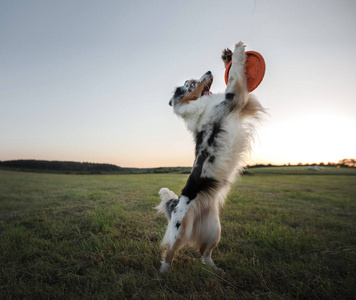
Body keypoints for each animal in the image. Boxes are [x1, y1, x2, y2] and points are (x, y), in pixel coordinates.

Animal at [156, 41, 264, 274]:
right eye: (191, 84)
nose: (208, 71)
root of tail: (177, 203)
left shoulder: (241, 101)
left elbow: (233, 73)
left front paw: (227, 57)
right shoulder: (234, 96)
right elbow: (235, 73)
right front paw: (238, 51)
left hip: (214, 229)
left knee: (204, 253)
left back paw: (216, 270)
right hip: (180, 229)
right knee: (169, 251)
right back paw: (163, 272)